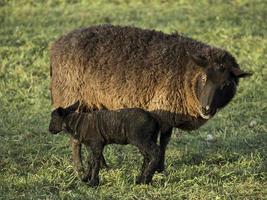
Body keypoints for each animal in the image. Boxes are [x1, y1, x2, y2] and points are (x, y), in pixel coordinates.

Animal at [50, 24, 253, 175]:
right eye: (203, 78)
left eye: (227, 84)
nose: (207, 109)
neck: (186, 71)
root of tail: (57, 44)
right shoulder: (160, 110)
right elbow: (157, 140)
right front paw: (153, 168)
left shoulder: (168, 112)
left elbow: (165, 140)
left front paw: (160, 169)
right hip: (71, 96)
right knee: (75, 137)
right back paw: (79, 170)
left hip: (92, 101)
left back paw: (103, 166)